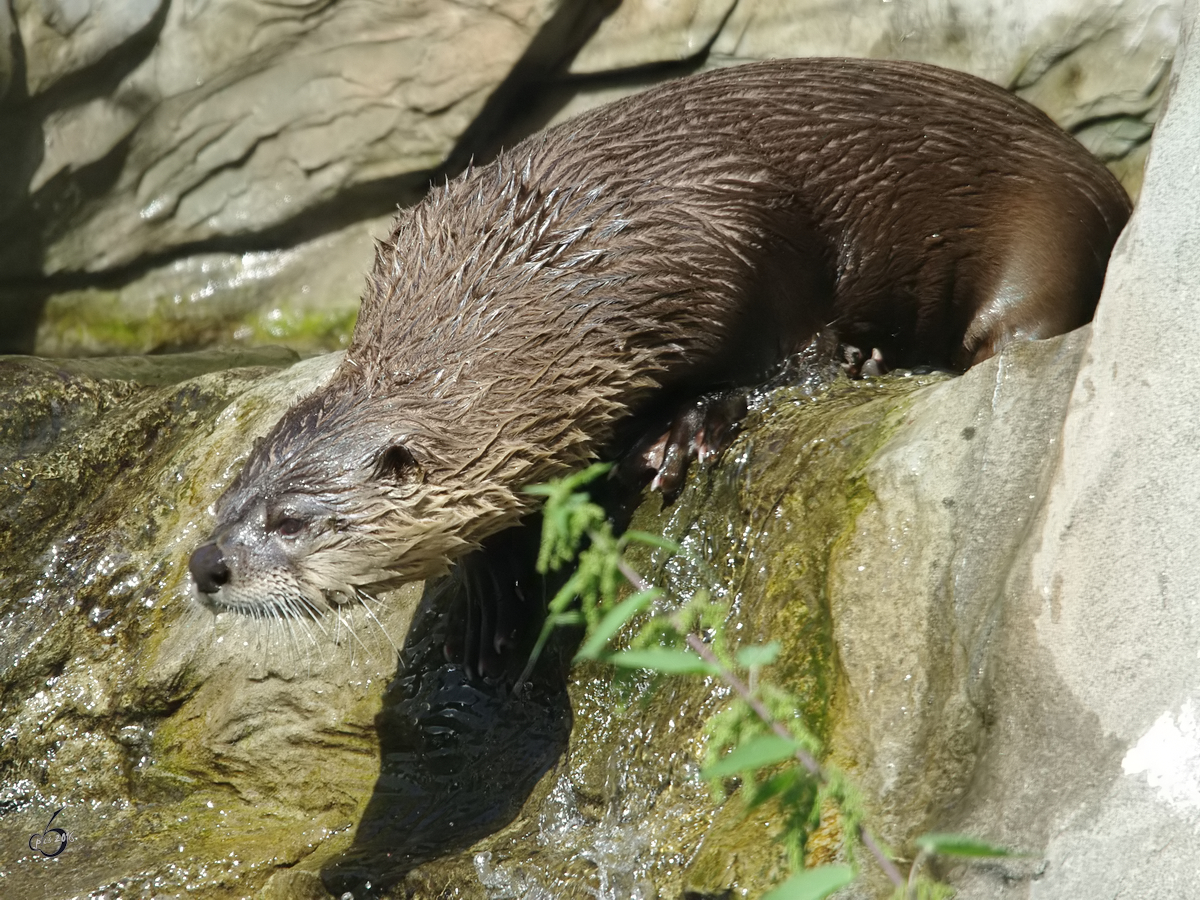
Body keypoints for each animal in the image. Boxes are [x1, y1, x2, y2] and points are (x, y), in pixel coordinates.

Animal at [189, 58, 1132, 648]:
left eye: (290, 520)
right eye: (227, 501)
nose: (206, 565)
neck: (565, 276)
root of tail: (1106, 177)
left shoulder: (734, 229)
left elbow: (787, 353)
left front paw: (682, 430)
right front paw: (488, 594)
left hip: (1049, 233)